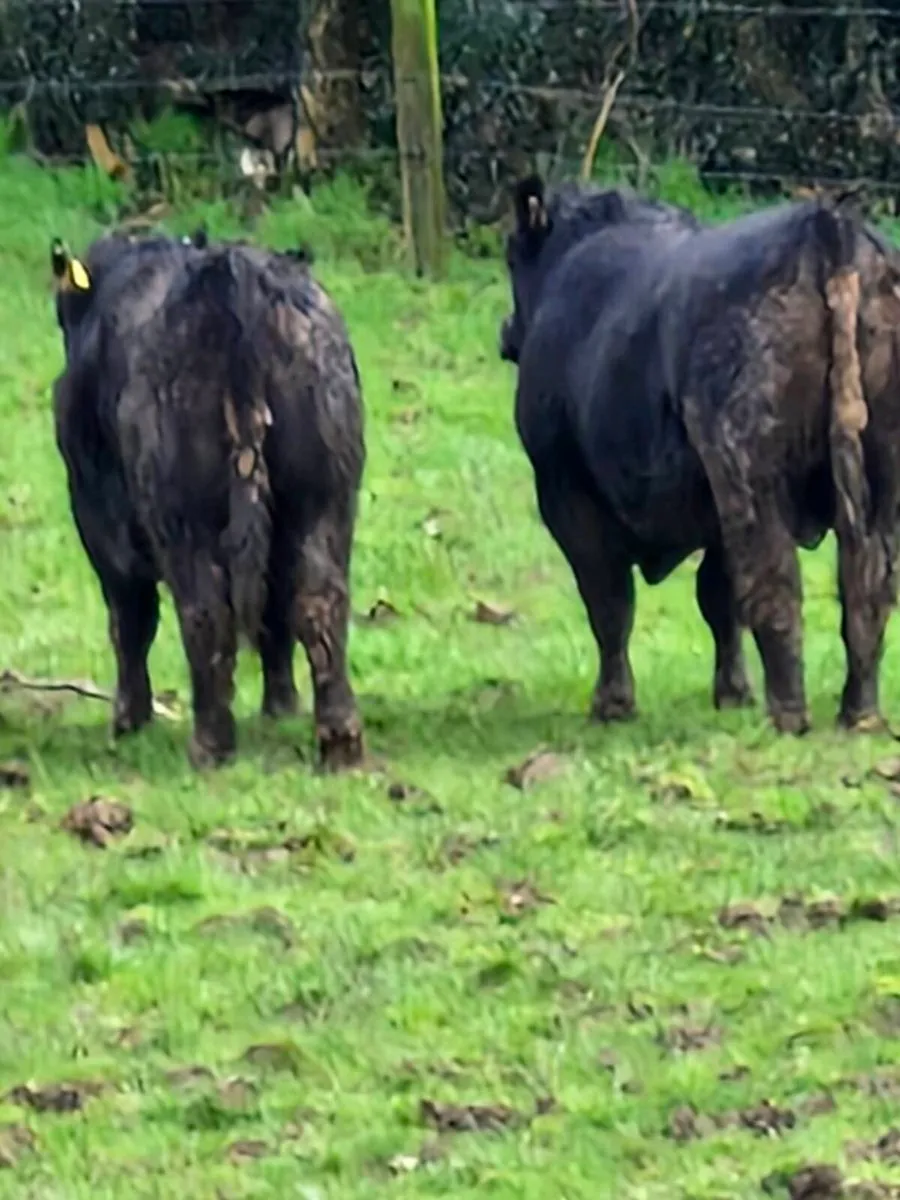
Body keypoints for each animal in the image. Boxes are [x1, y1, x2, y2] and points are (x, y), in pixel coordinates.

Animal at [50, 230, 365, 770]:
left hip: (184, 517)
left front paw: (129, 719)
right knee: (316, 599)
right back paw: (339, 741)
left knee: (204, 611)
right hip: (324, 500)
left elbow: (130, 618)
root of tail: (234, 277)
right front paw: (281, 707)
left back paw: (209, 746)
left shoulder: (97, 519)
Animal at [500, 175, 900, 735]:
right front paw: (732, 693)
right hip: (883, 472)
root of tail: (827, 226)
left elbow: (609, 600)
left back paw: (788, 715)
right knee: (868, 586)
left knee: (776, 582)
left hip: (746, 466)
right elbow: (718, 596)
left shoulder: (566, 491)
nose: (506, 330)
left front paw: (612, 704)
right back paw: (859, 713)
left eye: (511, 256)